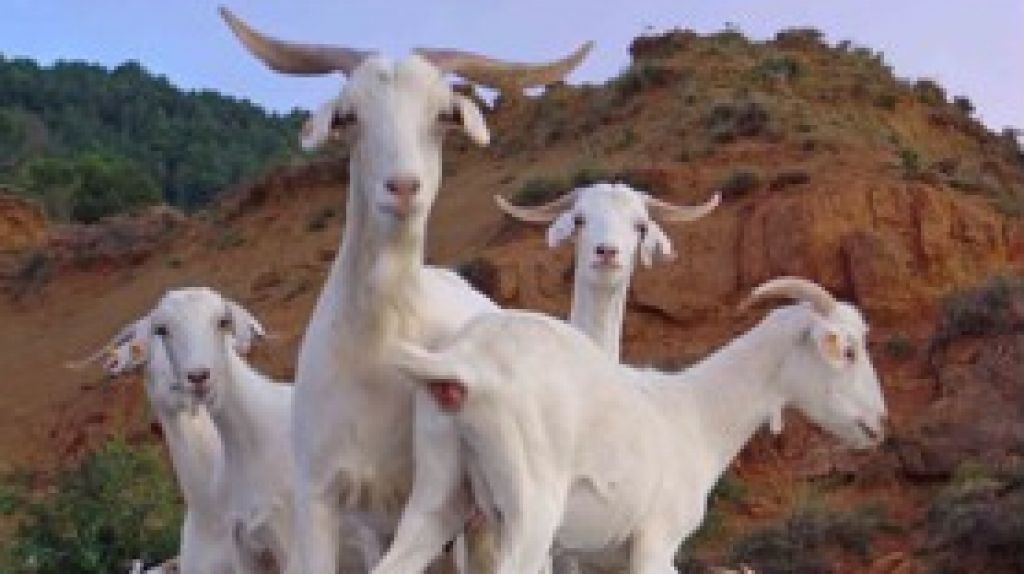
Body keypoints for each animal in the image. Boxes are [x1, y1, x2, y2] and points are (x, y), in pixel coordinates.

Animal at [219, 7, 592, 573]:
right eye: (349, 116)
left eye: (443, 114)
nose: (403, 187)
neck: (374, 348)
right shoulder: (318, 494)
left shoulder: (428, 501)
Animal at [391, 277, 889, 574]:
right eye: (848, 351)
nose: (879, 423)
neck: (696, 415)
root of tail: (465, 363)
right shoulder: (657, 542)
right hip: (529, 509)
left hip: (437, 497)